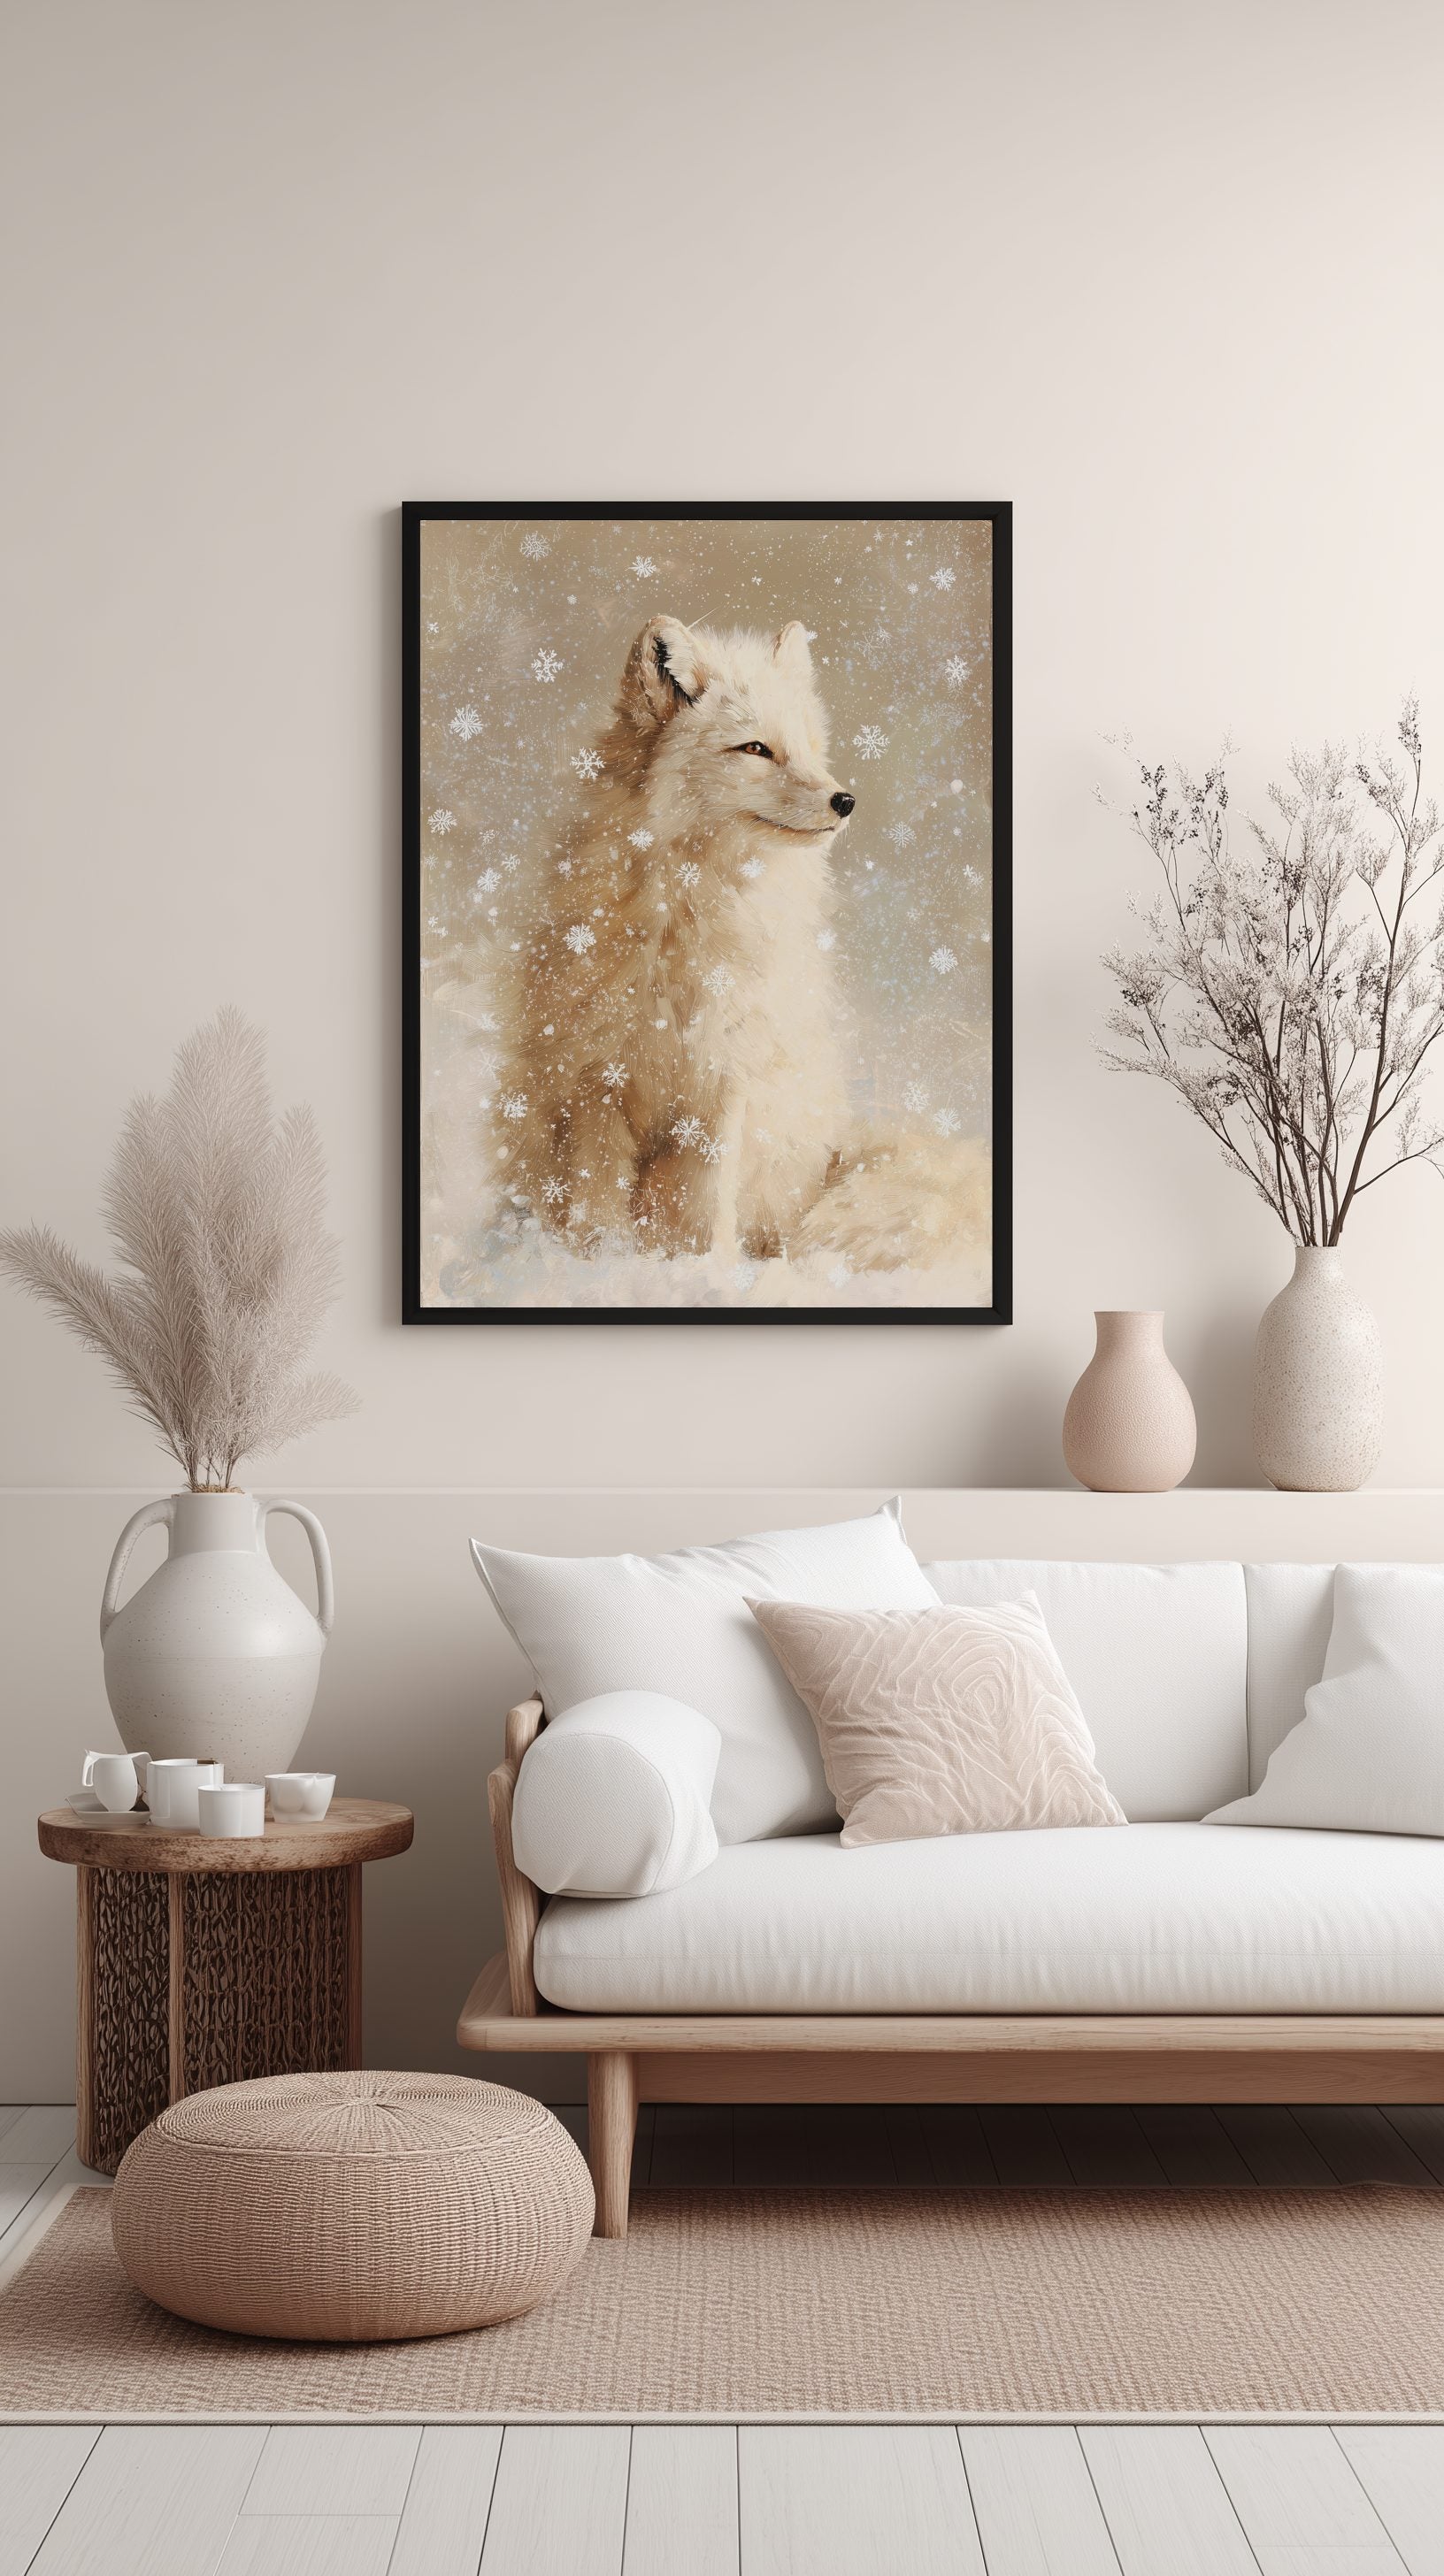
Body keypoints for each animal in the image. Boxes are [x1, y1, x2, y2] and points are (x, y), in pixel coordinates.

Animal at [488, 612, 989, 1273]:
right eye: (755, 749)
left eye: (809, 747)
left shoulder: (726, 1076)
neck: (689, 917)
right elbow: (597, 1203)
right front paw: (599, 1268)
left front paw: (709, 1274)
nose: (846, 801)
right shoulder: (597, 1075)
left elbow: (706, 1202)